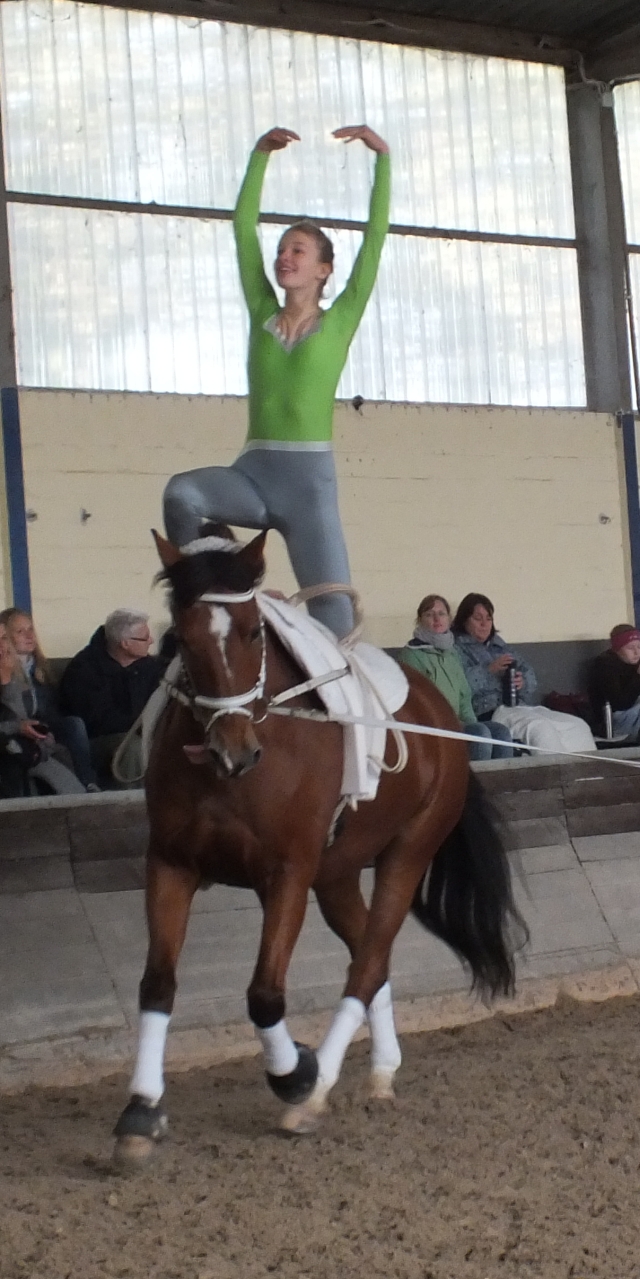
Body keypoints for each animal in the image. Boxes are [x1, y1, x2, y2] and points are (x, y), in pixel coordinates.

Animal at [113, 528, 526, 1161]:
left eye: (253, 632)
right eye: (179, 638)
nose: (234, 750)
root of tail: (439, 711)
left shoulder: (288, 872)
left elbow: (265, 994)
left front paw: (295, 1074)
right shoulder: (171, 864)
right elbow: (158, 984)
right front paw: (140, 1113)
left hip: (406, 854)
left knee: (368, 962)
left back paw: (315, 1092)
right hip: (336, 875)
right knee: (371, 959)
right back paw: (381, 1072)